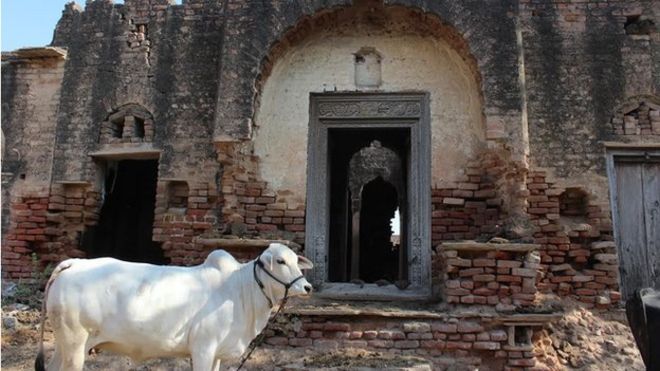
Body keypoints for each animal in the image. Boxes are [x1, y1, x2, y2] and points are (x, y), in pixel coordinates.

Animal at [34, 244, 314, 371]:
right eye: (281, 261)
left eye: (295, 261)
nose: (307, 286)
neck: (239, 290)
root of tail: (74, 263)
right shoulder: (203, 349)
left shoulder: (217, 354)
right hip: (76, 344)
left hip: (64, 343)